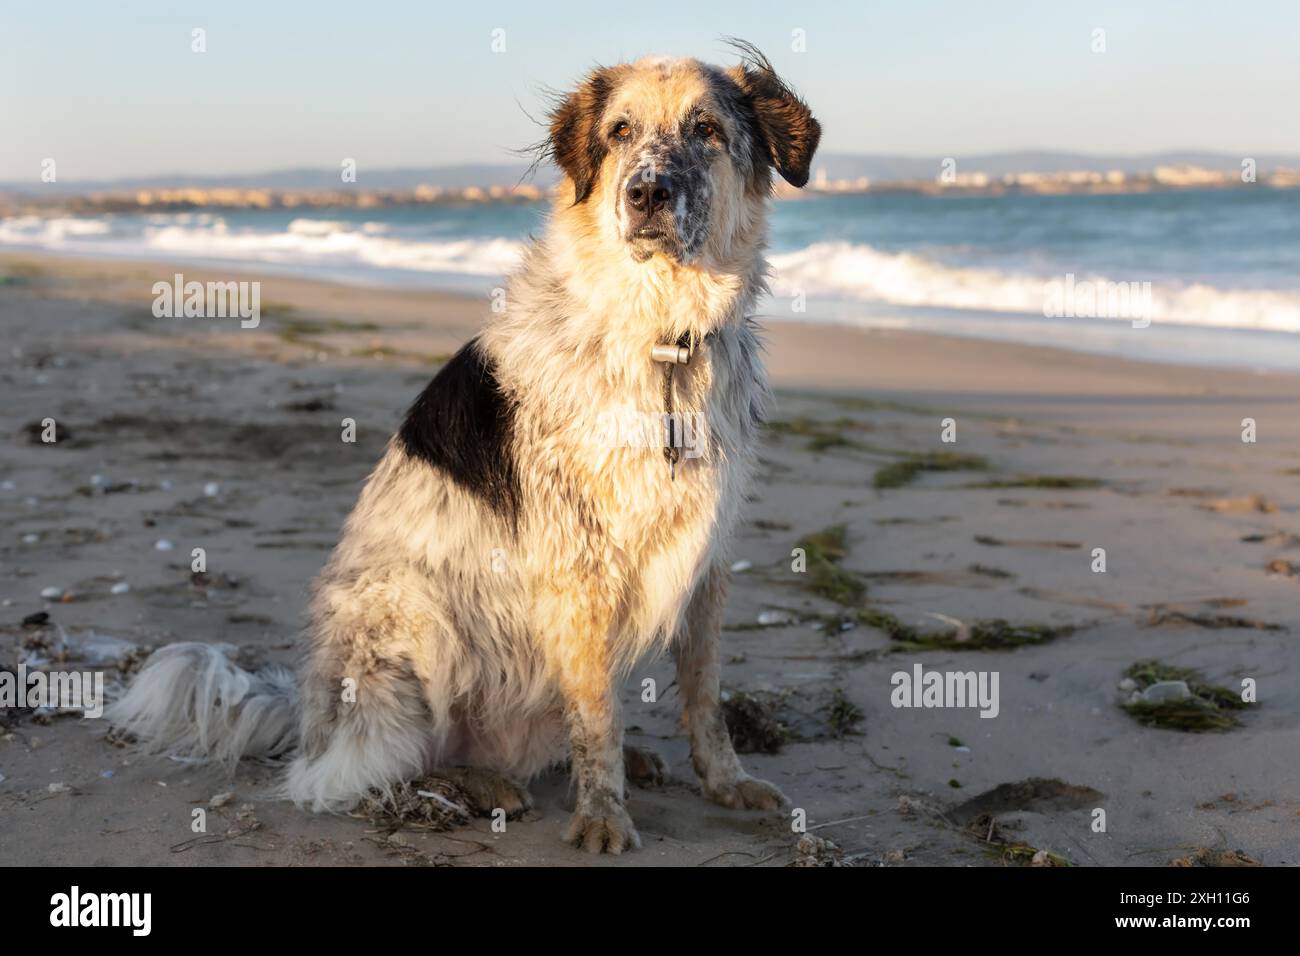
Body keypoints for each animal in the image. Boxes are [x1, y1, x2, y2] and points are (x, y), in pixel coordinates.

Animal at [114, 41, 821, 858]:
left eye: (707, 129)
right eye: (619, 132)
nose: (646, 193)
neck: (664, 340)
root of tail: (309, 717)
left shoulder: (706, 557)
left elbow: (703, 695)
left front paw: (725, 782)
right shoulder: (578, 566)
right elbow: (598, 719)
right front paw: (602, 815)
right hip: (413, 610)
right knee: (365, 769)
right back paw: (473, 784)